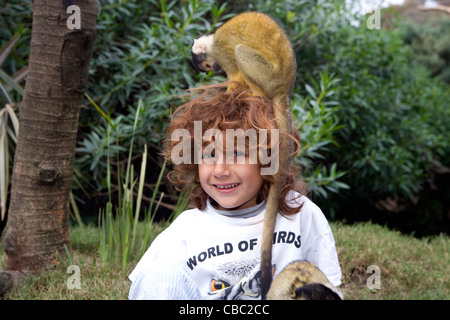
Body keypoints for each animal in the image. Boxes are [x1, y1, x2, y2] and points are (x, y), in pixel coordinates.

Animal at [191, 11, 298, 298]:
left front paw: (229, 92)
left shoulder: (221, 48)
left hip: (268, 76)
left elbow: (235, 68)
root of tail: (284, 88)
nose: (215, 71)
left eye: (210, 65)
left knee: (241, 53)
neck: (213, 37)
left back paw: (253, 91)